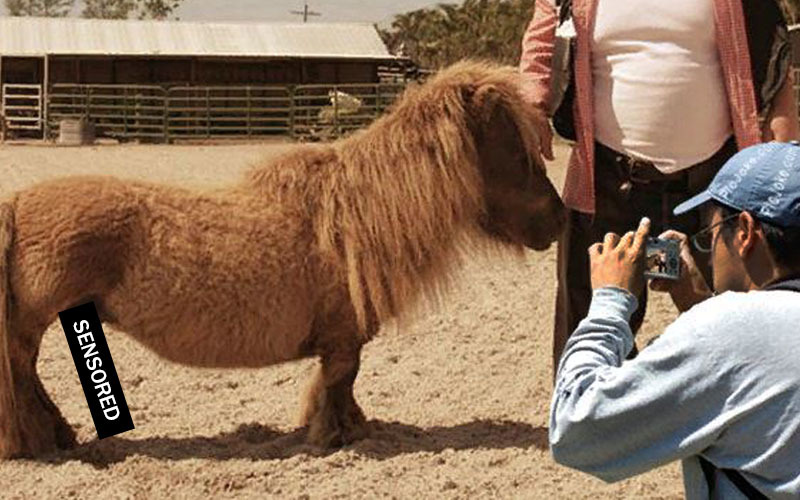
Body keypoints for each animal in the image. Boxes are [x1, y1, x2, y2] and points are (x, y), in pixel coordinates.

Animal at [0, 60, 564, 458]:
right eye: (516, 150)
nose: (558, 220)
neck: (361, 212)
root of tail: (19, 202)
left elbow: (339, 388)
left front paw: (351, 430)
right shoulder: (342, 341)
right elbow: (339, 383)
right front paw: (332, 437)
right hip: (33, 325)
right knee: (23, 373)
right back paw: (39, 441)